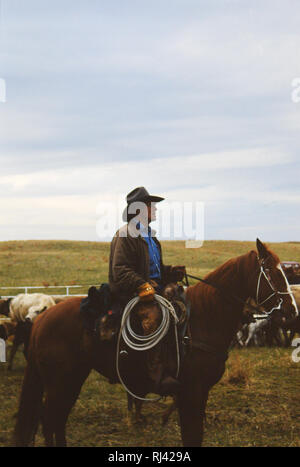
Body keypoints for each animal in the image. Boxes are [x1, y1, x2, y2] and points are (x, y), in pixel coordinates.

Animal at [13, 239, 298, 448]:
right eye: (272, 272)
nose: (292, 311)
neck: (203, 319)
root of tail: (42, 318)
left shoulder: (199, 394)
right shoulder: (192, 393)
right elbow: (192, 436)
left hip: (70, 379)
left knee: (53, 421)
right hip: (61, 382)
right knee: (51, 420)